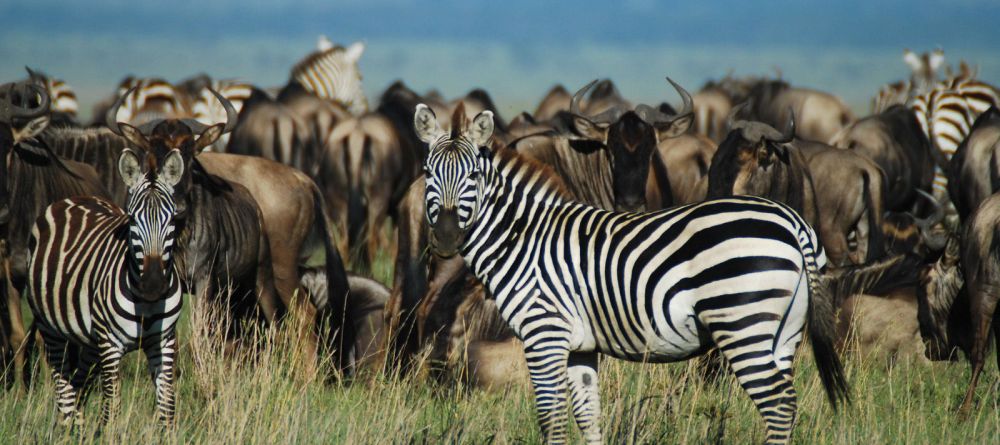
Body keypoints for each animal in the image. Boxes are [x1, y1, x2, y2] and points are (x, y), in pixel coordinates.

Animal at [27, 145, 186, 424]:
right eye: (132, 220)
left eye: (172, 221)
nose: (153, 285)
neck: (145, 305)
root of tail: (75, 198)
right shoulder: (111, 345)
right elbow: (112, 408)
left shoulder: (164, 341)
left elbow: (167, 406)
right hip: (51, 329)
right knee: (64, 392)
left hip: (91, 341)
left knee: (78, 388)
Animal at [412, 105, 892, 444]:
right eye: (428, 172)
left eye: (474, 175)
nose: (448, 237)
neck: (523, 238)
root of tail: (791, 221)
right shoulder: (581, 346)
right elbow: (588, 417)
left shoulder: (543, 334)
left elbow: (551, 419)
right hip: (783, 331)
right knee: (786, 404)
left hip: (742, 324)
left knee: (777, 406)